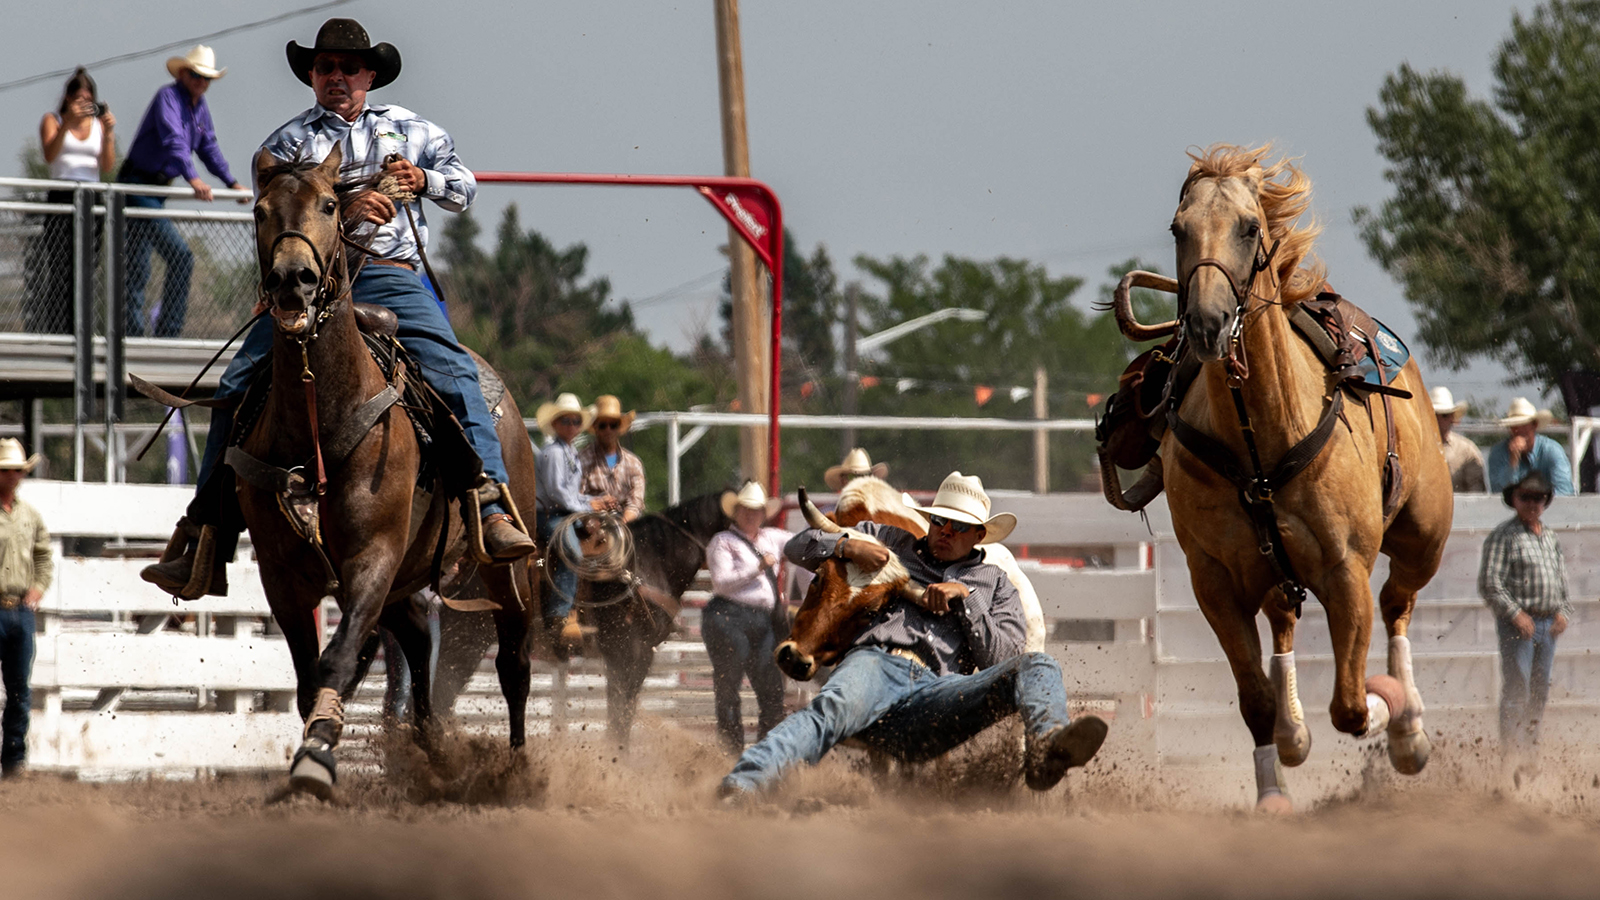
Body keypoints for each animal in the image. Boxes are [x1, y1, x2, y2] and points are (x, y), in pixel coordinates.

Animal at [246, 145, 540, 791]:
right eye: (259, 210)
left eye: (330, 205)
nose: (292, 280)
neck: (322, 415)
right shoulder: (281, 574)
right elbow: (312, 676)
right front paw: (318, 747)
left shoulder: (373, 553)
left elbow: (339, 657)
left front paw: (316, 758)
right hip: (408, 575)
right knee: (416, 639)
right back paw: (429, 746)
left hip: (508, 569)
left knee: (513, 662)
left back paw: (515, 770)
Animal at [1107, 145, 1459, 807]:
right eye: (1178, 229)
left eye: (1250, 228)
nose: (1207, 323)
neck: (1260, 440)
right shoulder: (1214, 582)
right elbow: (1256, 701)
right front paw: (1276, 780)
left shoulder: (1346, 572)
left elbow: (1352, 706)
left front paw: (1389, 713)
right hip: (1271, 573)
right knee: (1284, 621)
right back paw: (1298, 733)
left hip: (1423, 539)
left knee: (1397, 604)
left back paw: (1409, 733)